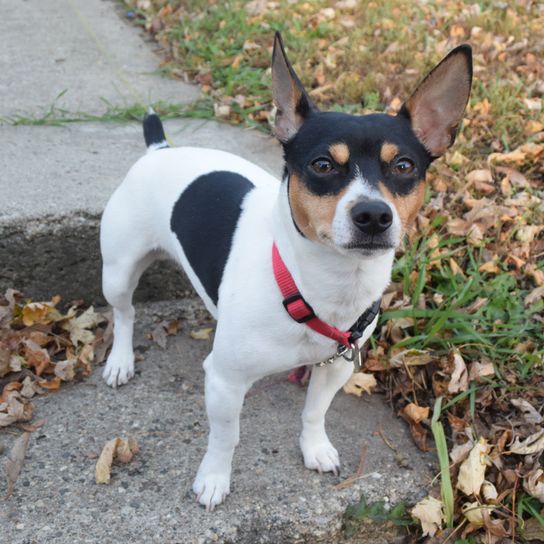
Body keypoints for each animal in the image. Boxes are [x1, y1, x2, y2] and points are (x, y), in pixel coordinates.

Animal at [99, 34, 472, 510]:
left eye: (404, 166)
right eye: (322, 165)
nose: (373, 214)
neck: (315, 285)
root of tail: (159, 151)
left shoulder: (335, 368)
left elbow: (314, 411)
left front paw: (315, 448)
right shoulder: (224, 381)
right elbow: (225, 436)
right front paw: (214, 478)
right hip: (118, 270)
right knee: (124, 312)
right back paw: (121, 360)